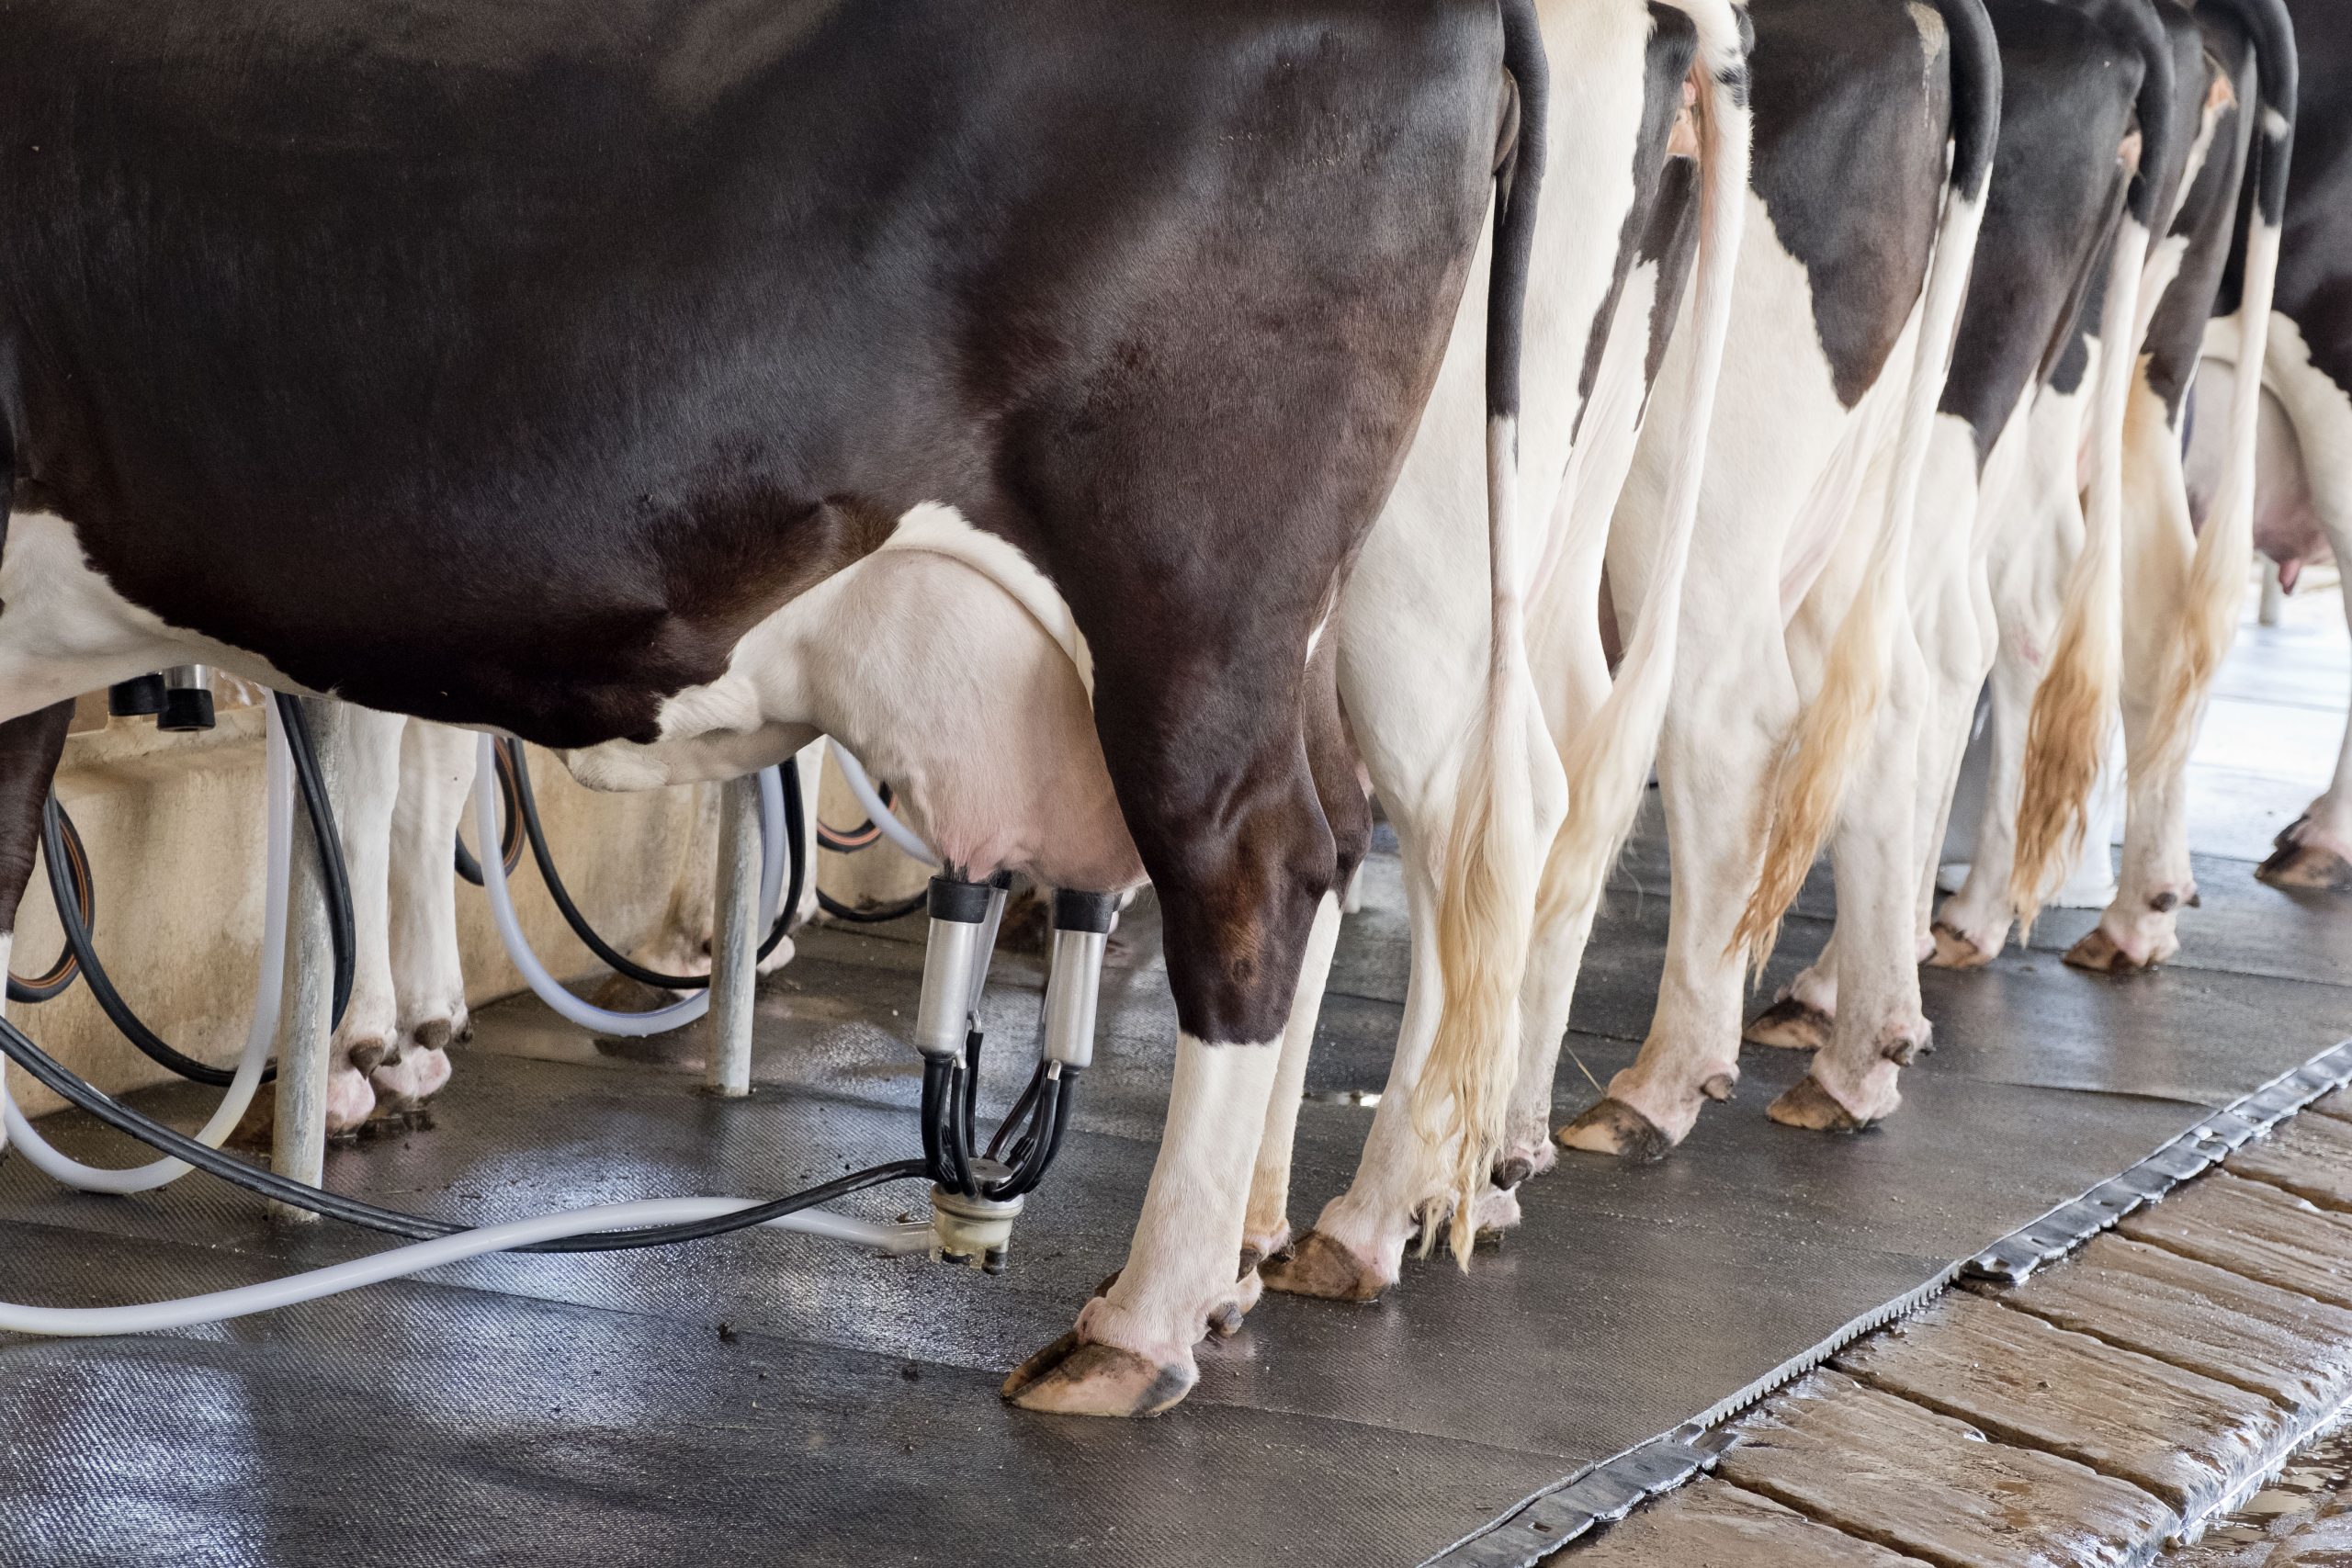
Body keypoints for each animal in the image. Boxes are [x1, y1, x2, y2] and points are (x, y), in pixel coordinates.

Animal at [0, 0, 1541, 1419]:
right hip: (1311, 620)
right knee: (1348, 832)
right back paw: (1245, 1258)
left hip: (1192, 590)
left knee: (1257, 867)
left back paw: (1144, 1321)